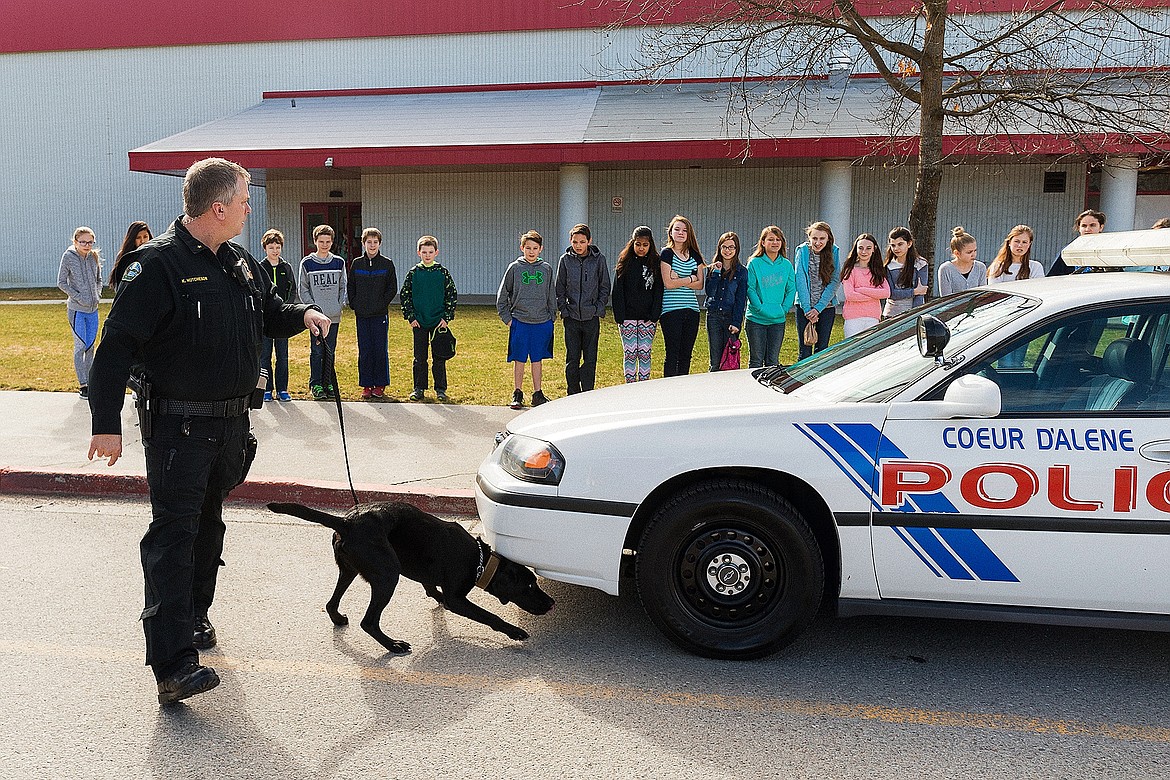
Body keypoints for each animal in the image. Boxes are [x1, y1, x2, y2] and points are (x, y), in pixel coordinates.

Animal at [267, 500, 554, 654]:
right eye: (530, 584)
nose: (551, 603)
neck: (480, 560)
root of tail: (346, 523)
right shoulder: (458, 599)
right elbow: (490, 615)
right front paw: (514, 631)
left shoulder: (430, 578)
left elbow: (431, 588)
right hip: (386, 576)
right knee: (368, 622)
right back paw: (392, 645)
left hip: (349, 570)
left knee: (331, 603)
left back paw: (338, 618)